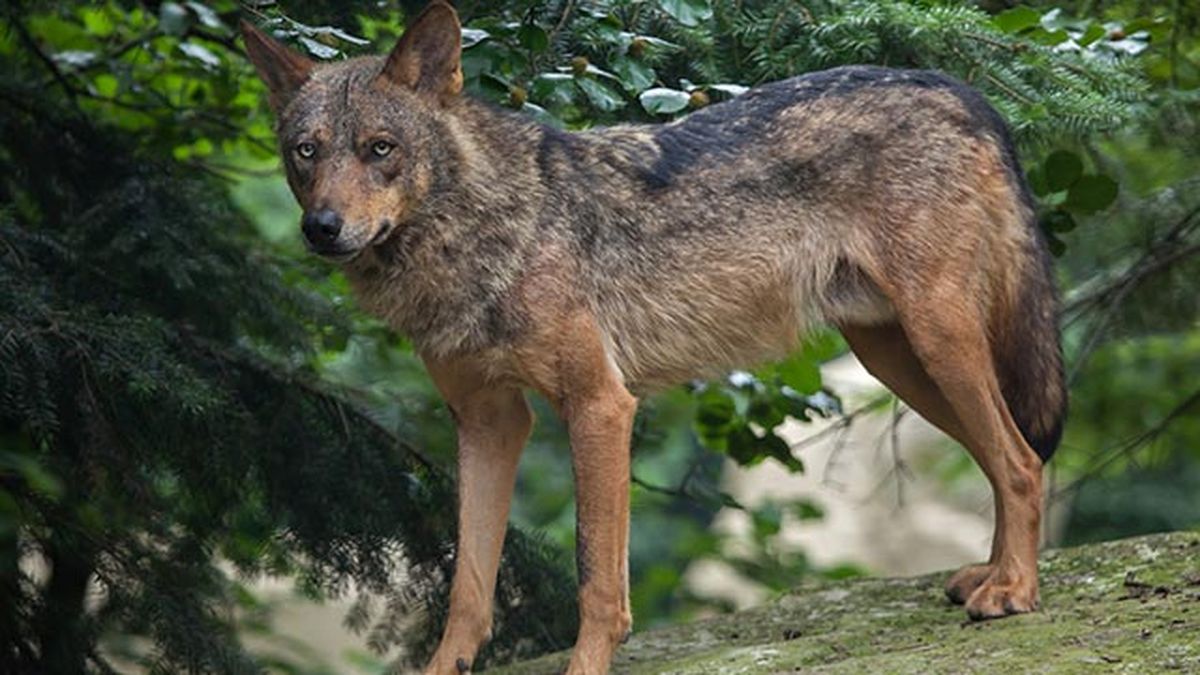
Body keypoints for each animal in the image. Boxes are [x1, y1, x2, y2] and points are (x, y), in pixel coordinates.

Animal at [242, 2, 1066, 672]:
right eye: (306, 152)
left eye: (380, 148)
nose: (321, 229)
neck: (481, 233)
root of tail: (959, 88)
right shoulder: (488, 421)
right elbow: (469, 587)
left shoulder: (600, 405)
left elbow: (595, 582)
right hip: (899, 359)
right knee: (1004, 456)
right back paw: (988, 576)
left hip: (937, 341)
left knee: (1021, 460)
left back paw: (1014, 592)